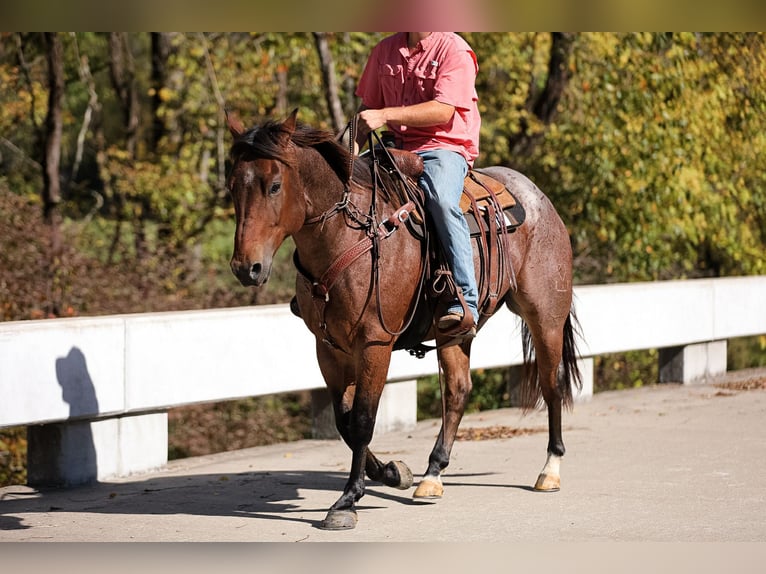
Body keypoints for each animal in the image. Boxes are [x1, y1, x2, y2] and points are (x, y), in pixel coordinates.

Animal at [226, 109, 581, 530]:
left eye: (275, 185)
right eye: (233, 186)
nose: (246, 268)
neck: (348, 237)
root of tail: (537, 196)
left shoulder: (374, 343)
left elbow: (363, 419)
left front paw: (347, 500)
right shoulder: (328, 349)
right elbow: (344, 421)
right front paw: (393, 473)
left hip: (545, 317)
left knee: (551, 384)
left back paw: (550, 469)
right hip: (455, 332)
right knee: (457, 391)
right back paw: (432, 475)